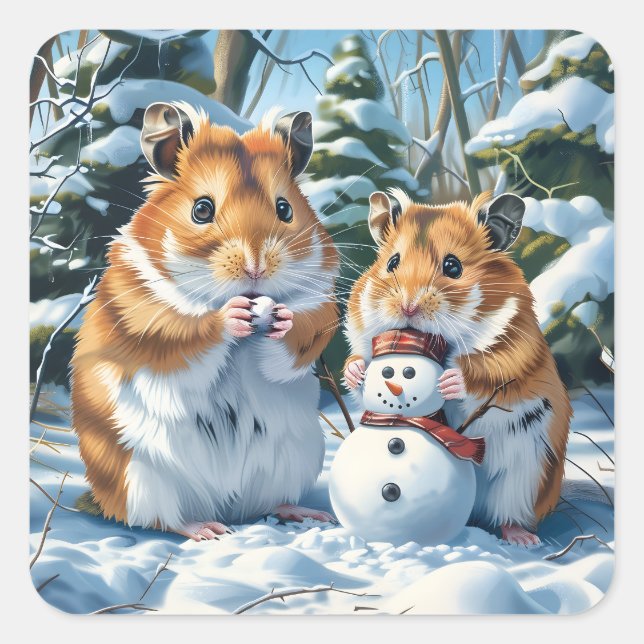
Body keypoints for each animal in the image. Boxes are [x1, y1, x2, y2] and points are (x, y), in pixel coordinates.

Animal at [71, 102, 339, 541]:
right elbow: (189, 332)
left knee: (270, 503)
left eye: (285, 208)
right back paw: (208, 530)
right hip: (141, 475)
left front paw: (280, 318)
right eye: (201, 209)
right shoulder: (147, 317)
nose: (256, 266)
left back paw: (311, 515)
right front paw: (231, 317)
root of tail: (225, 505)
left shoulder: (319, 305)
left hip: (294, 458)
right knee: (163, 518)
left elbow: (299, 336)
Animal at [343, 188, 571, 545]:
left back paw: (523, 538)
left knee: (508, 513)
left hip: (524, 476)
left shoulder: (516, 346)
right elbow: (357, 359)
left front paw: (450, 381)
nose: (408, 307)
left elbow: (487, 368)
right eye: (392, 263)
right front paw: (357, 372)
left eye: (453, 266)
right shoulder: (361, 332)